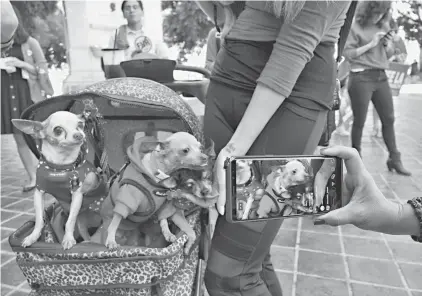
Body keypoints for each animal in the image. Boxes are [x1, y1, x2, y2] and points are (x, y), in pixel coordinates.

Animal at [11, 111, 105, 250]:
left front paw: (68, 239)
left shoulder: (78, 194)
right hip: (80, 221)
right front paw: (33, 236)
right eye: (58, 130)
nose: (79, 134)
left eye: (80, 124)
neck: (60, 167)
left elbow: (70, 220)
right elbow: (39, 219)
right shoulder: (38, 192)